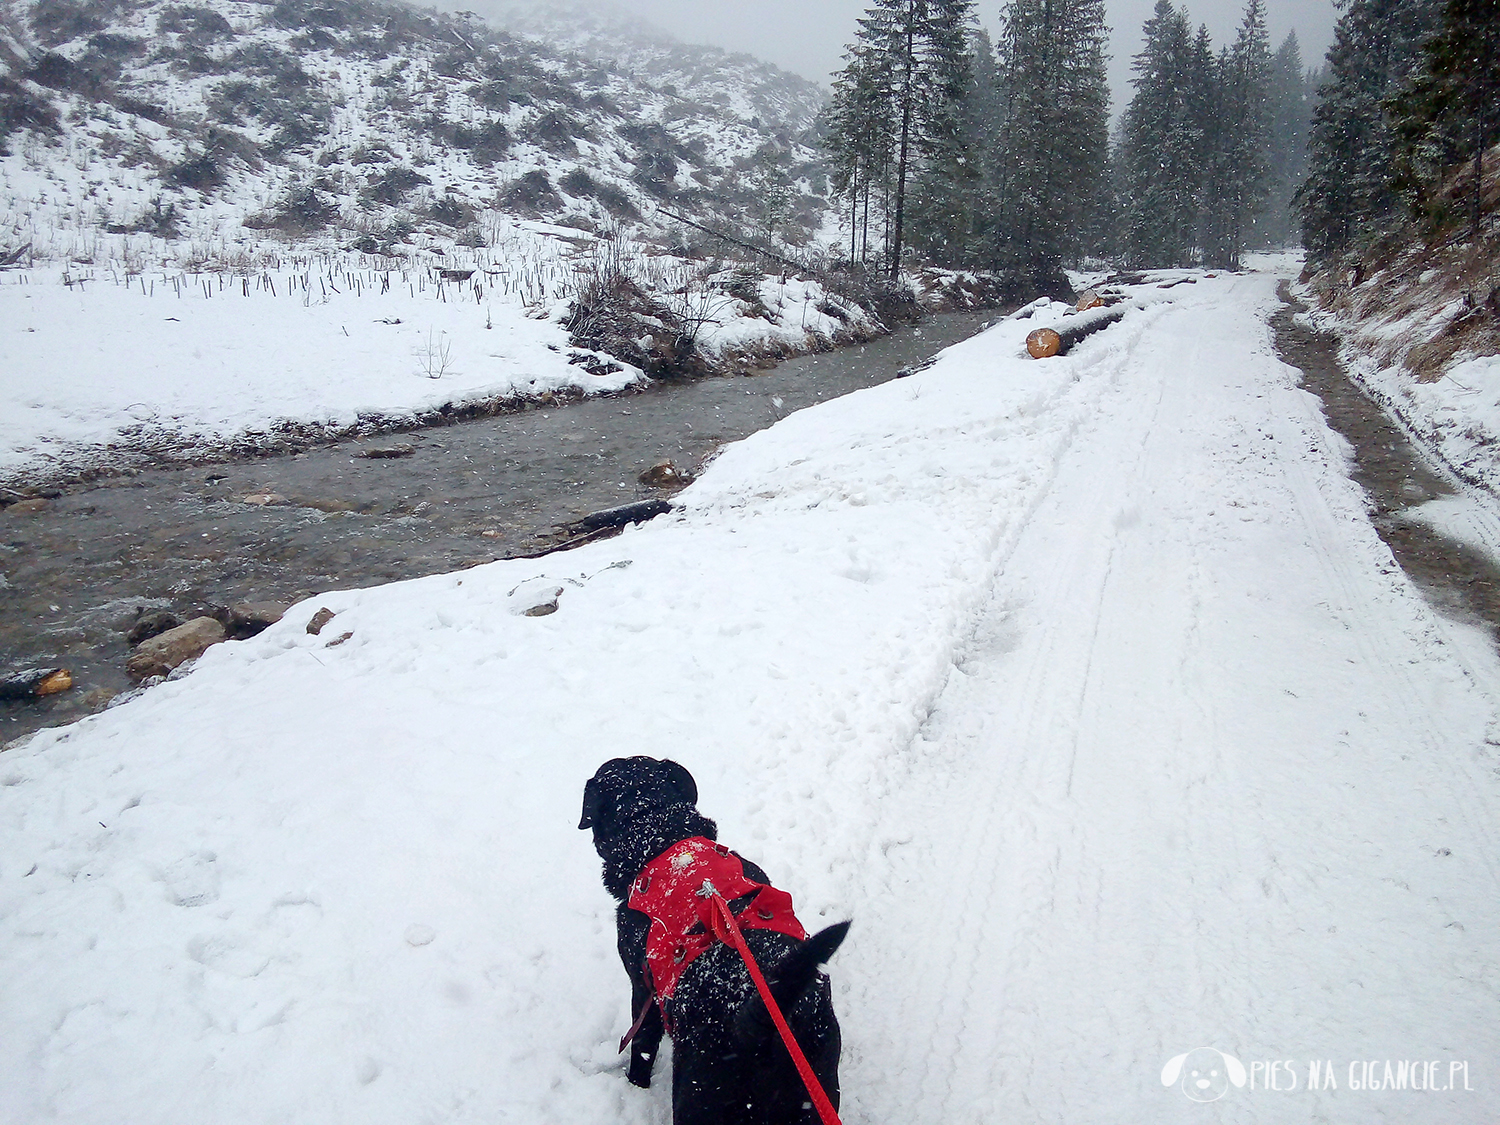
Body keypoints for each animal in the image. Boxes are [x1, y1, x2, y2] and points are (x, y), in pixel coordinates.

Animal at [579, 759, 852, 1125]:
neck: (661, 839)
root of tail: (760, 1022)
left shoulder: (644, 990)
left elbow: (641, 1048)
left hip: (696, 1097)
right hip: (816, 1091)